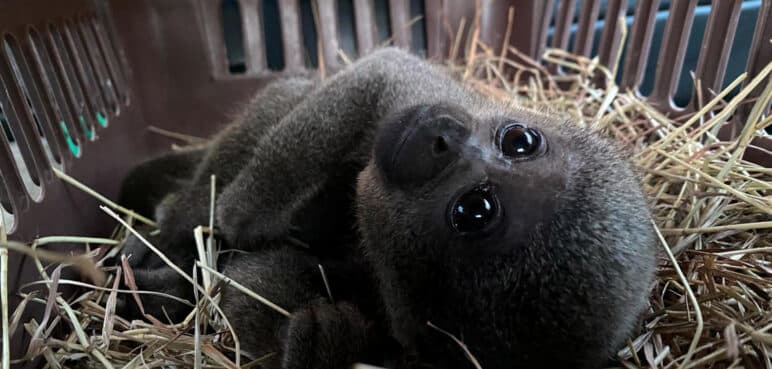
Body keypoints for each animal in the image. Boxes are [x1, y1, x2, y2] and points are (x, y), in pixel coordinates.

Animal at [117, 47, 656, 366]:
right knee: (285, 100)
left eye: (474, 210)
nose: (443, 136)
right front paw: (234, 211)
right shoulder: (424, 96)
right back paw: (181, 218)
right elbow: (380, 72)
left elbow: (260, 285)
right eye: (520, 141)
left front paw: (323, 341)